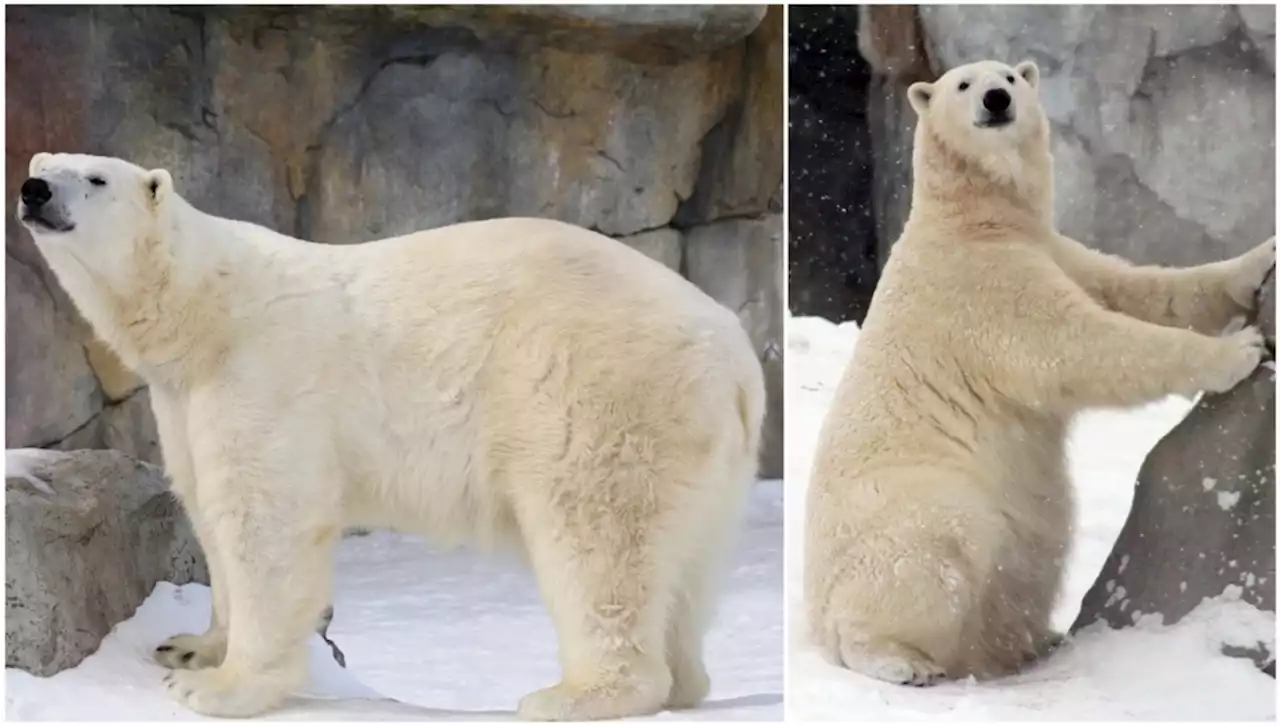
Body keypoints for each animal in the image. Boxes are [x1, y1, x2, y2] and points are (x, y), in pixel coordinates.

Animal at [20, 153, 762, 722]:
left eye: (95, 178)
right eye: (43, 164)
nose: (33, 191)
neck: (205, 310)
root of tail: (737, 357)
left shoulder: (265, 373)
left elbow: (264, 520)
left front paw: (215, 686)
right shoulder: (184, 398)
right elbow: (205, 502)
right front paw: (190, 645)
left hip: (603, 393)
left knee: (596, 534)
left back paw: (573, 694)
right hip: (704, 453)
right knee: (684, 561)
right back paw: (683, 679)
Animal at [803, 58, 1274, 686]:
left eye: (1009, 75)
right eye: (963, 83)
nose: (997, 99)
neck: (971, 223)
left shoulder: (1055, 250)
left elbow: (1142, 288)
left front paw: (1261, 257)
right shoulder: (982, 289)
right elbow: (1078, 345)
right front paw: (1241, 350)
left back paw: (1028, 641)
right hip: (910, 503)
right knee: (940, 547)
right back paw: (902, 660)